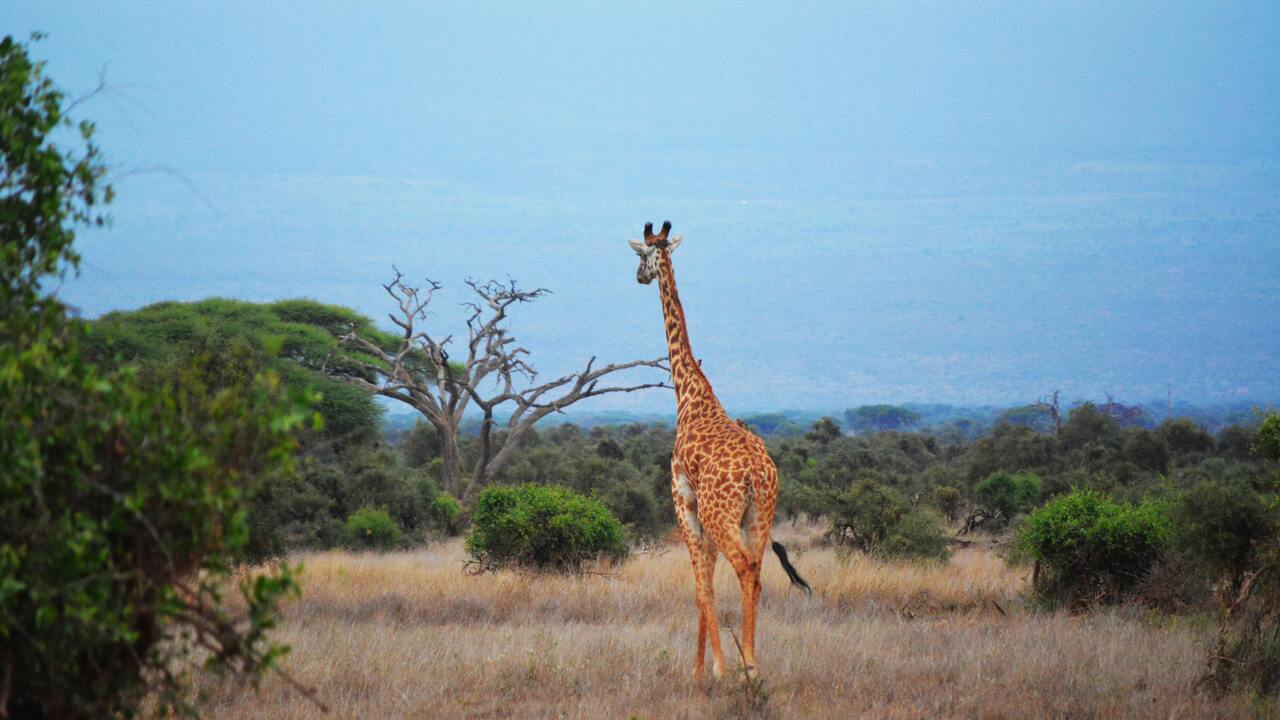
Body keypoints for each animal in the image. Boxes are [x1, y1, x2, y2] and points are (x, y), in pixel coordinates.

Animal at [628, 221, 810, 679]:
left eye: (639, 255)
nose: (638, 277)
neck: (691, 395)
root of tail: (756, 475)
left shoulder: (685, 503)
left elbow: (701, 588)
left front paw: (711, 669)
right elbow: (706, 584)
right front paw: (701, 666)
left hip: (723, 514)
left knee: (744, 568)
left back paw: (746, 665)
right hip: (758, 516)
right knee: (758, 574)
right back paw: (753, 661)